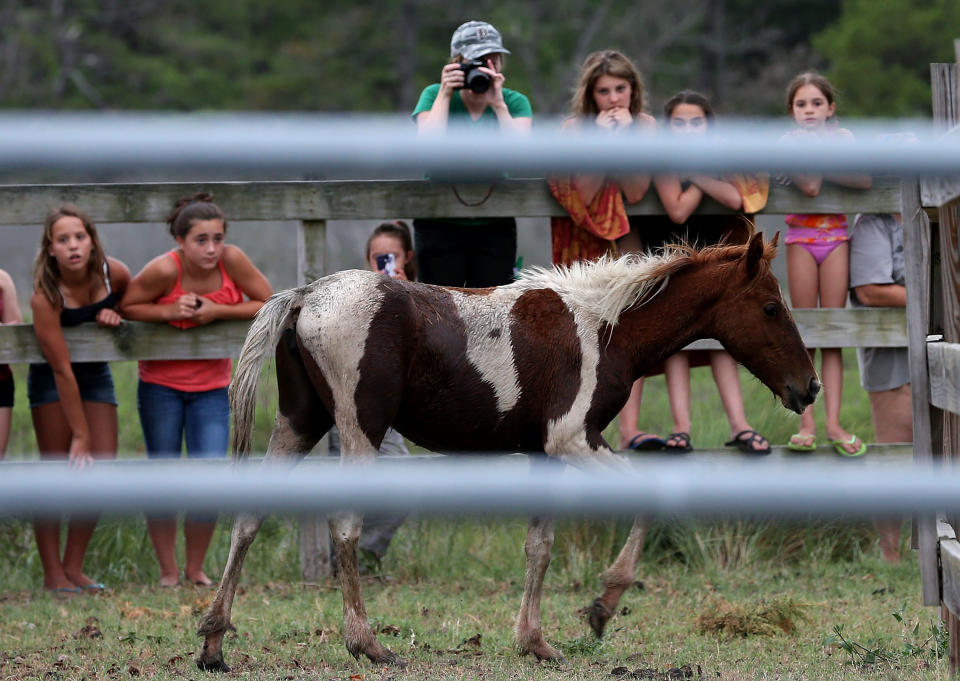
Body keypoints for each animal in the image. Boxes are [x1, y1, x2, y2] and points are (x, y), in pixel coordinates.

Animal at [197, 231, 816, 668]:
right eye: (770, 307)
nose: (807, 388)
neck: (604, 325)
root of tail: (306, 296)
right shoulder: (575, 437)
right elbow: (646, 499)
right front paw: (602, 606)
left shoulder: (545, 451)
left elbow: (538, 547)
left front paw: (534, 642)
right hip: (358, 430)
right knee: (345, 525)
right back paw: (367, 644)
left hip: (299, 423)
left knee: (249, 517)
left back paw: (213, 642)